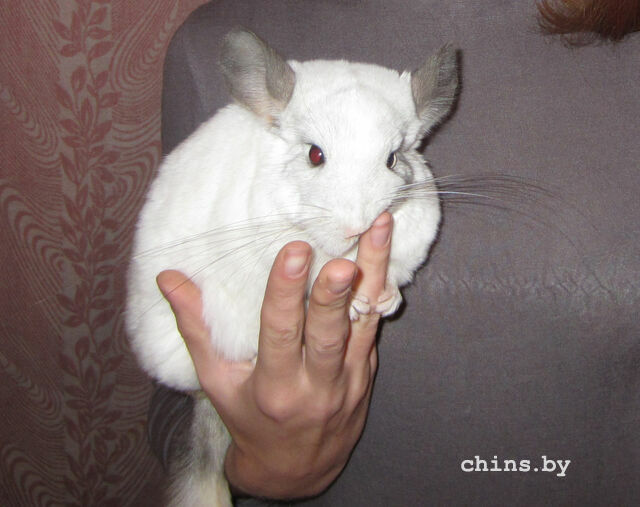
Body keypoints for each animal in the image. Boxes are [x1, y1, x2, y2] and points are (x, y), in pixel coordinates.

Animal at [126, 29, 458, 507]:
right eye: (315, 155)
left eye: (393, 159)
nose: (357, 229)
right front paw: (355, 303)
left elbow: (395, 273)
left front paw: (383, 299)